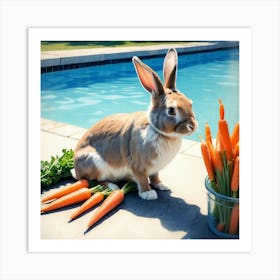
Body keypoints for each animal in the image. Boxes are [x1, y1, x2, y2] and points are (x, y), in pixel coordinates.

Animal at [73, 48, 198, 199]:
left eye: (190, 103)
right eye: (171, 110)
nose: (192, 126)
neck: (159, 132)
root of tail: (76, 169)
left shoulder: (155, 168)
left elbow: (155, 177)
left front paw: (162, 186)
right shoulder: (138, 165)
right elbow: (143, 178)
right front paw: (148, 194)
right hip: (94, 163)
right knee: (93, 181)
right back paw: (113, 187)